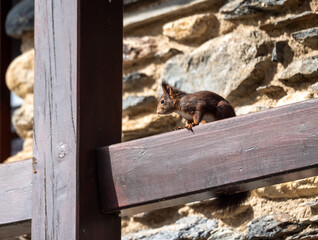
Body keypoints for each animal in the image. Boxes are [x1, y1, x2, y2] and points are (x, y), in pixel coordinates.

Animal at [157, 81, 251, 213]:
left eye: (162, 101)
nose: (157, 112)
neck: (178, 105)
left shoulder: (196, 105)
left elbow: (198, 114)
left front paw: (193, 125)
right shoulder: (187, 116)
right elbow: (188, 121)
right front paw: (182, 126)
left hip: (221, 108)